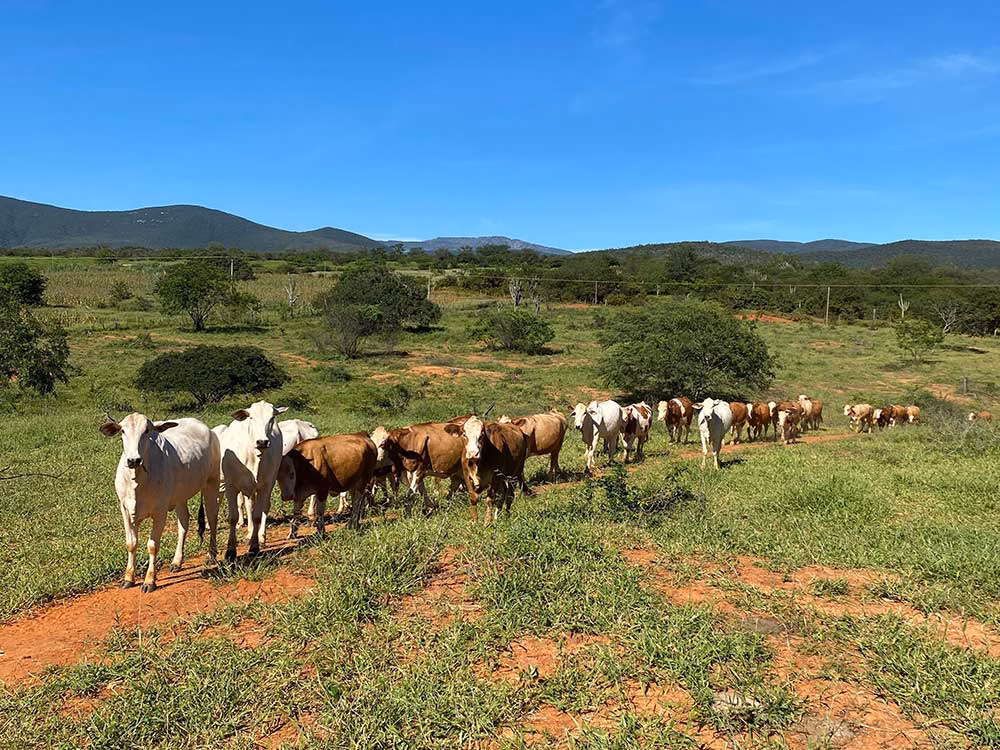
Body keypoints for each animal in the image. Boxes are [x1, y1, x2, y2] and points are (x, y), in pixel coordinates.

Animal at [100, 414, 221, 593]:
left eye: (147, 431)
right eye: (122, 431)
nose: (133, 460)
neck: (137, 479)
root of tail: (208, 430)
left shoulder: (160, 511)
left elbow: (152, 545)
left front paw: (150, 580)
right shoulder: (125, 509)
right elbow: (131, 543)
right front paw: (128, 578)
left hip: (211, 483)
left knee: (212, 518)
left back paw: (211, 555)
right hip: (180, 496)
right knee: (183, 523)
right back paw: (176, 562)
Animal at [212, 401, 287, 560]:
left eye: (272, 418)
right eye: (251, 417)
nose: (262, 442)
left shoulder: (265, 486)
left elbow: (258, 515)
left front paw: (254, 546)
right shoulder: (231, 486)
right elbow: (233, 517)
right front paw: (230, 550)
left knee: (263, 507)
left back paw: (260, 536)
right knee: (249, 505)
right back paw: (250, 533)